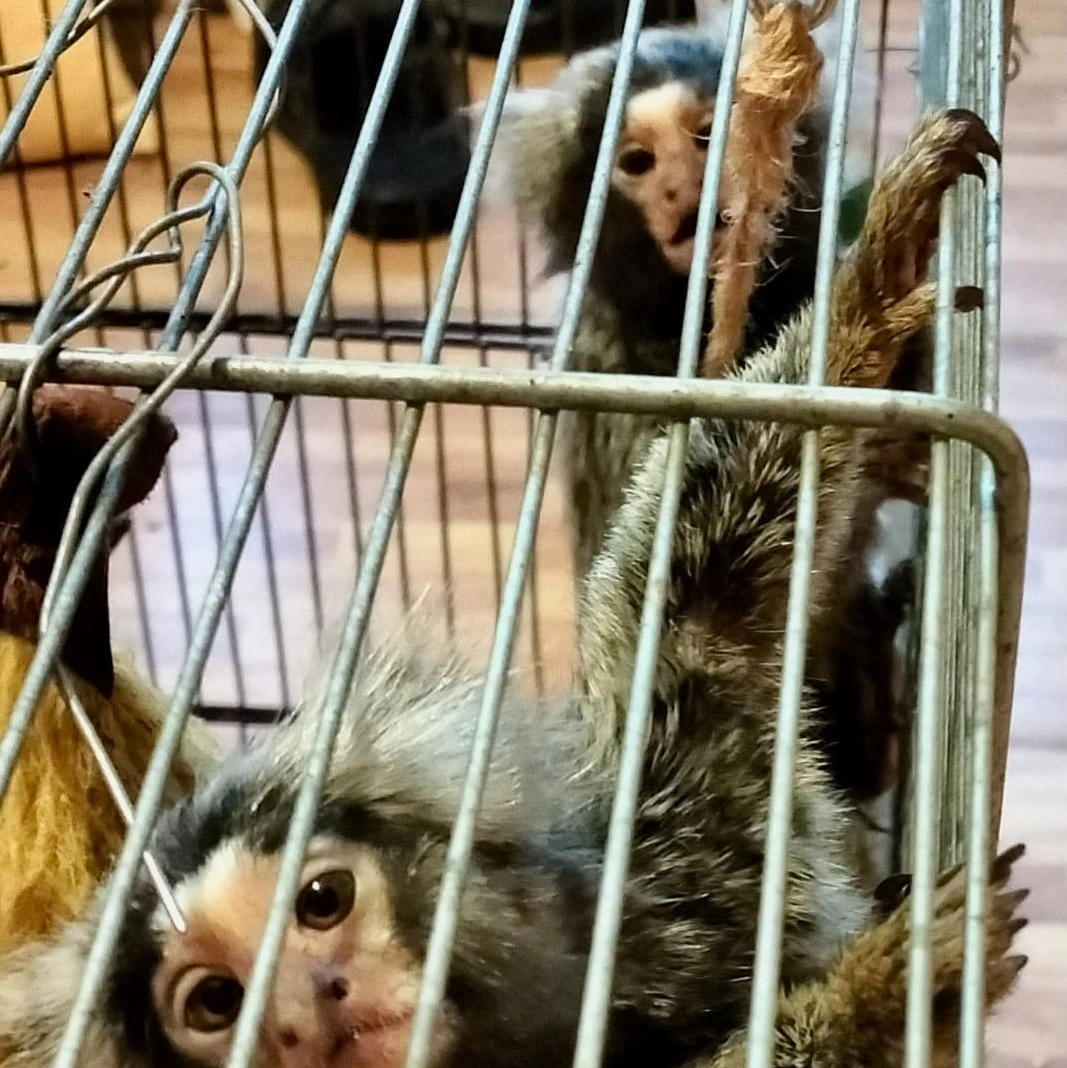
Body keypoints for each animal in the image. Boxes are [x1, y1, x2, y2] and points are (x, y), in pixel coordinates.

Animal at [0, 109, 1017, 1068]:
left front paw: (868, 294)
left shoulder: (679, 870)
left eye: (322, 899)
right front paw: (876, 1001)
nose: (310, 1007)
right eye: (213, 1003)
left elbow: (694, 609)